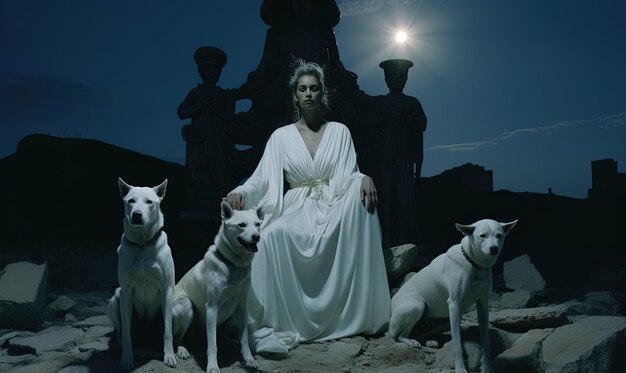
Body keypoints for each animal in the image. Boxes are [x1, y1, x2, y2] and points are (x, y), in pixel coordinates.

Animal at [106, 177, 176, 370]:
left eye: (149, 202)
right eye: (131, 201)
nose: (136, 214)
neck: (143, 244)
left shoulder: (166, 290)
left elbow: (168, 332)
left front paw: (169, 356)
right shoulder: (126, 291)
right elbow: (127, 334)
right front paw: (126, 359)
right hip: (116, 299)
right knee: (120, 333)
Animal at [171, 201, 260, 372]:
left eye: (258, 224)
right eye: (241, 225)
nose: (257, 237)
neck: (233, 264)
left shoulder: (242, 305)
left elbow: (244, 338)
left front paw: (249, 358)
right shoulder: (212, 308)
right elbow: (212, 345)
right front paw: (212, 366)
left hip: (233, 315)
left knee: (222, 335)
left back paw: (230, 344)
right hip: (186, 306)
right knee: (178, 337)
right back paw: (182, 349)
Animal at [386, 218, 516, 372]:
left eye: (499, 235)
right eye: (482, 236)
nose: (494, 248)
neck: (474, 264)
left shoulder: (483, 306)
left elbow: (486, 342)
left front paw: (487, 368)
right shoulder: (454, 305)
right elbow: (457, 345)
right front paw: (460, 369)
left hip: (445, 321)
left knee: (417, 332)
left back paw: (428, 341)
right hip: (417, 305)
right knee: (398, 335)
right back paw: (411, 341)